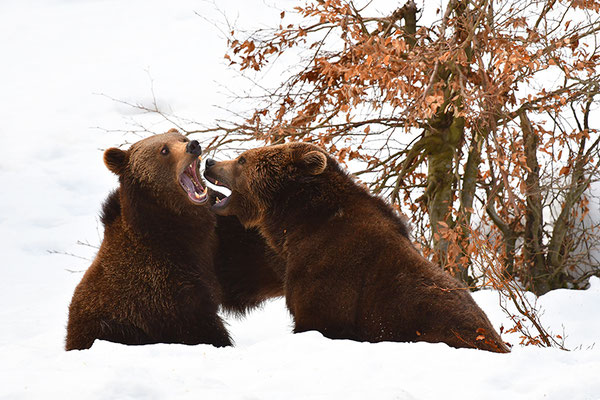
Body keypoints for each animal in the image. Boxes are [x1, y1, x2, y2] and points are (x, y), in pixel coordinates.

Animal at [66, 129, 284, 350]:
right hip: (108, 326)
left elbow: (256, 265)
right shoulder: (160, 281)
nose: (193, 145)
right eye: (164, 150)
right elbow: (195, 325)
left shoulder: (221, 245)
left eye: (182, 139)